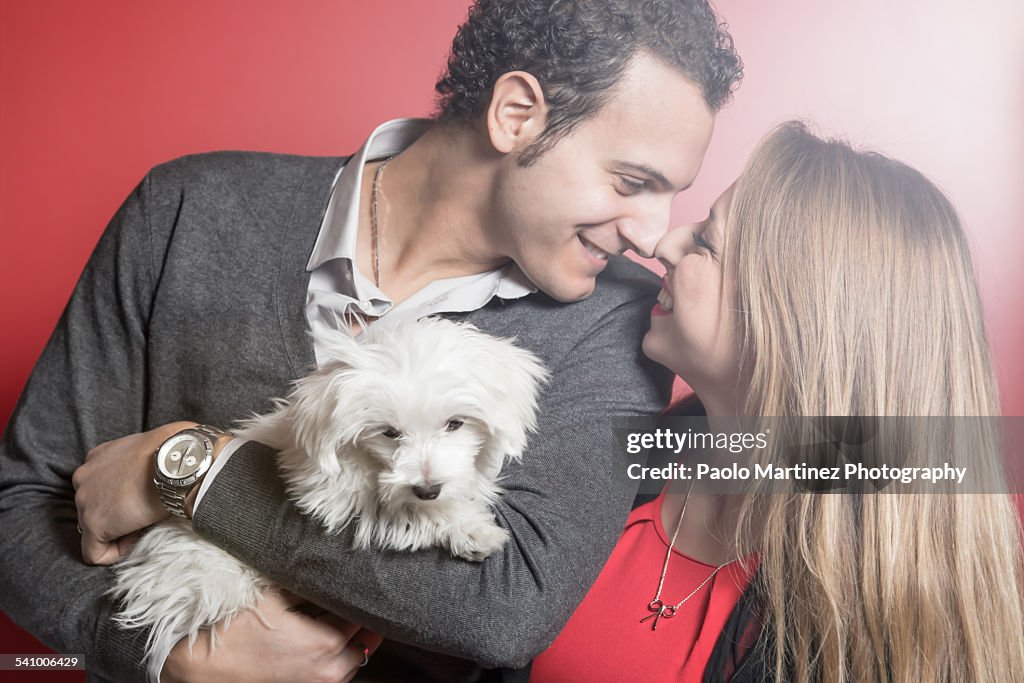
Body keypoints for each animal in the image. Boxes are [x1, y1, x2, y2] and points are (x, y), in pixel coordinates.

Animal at [108, 317, 548, 679]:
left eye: (455, 424)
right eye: (389, 432)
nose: (428, 488)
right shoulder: (329, 494)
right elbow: (397, 510)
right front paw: (467, 528)